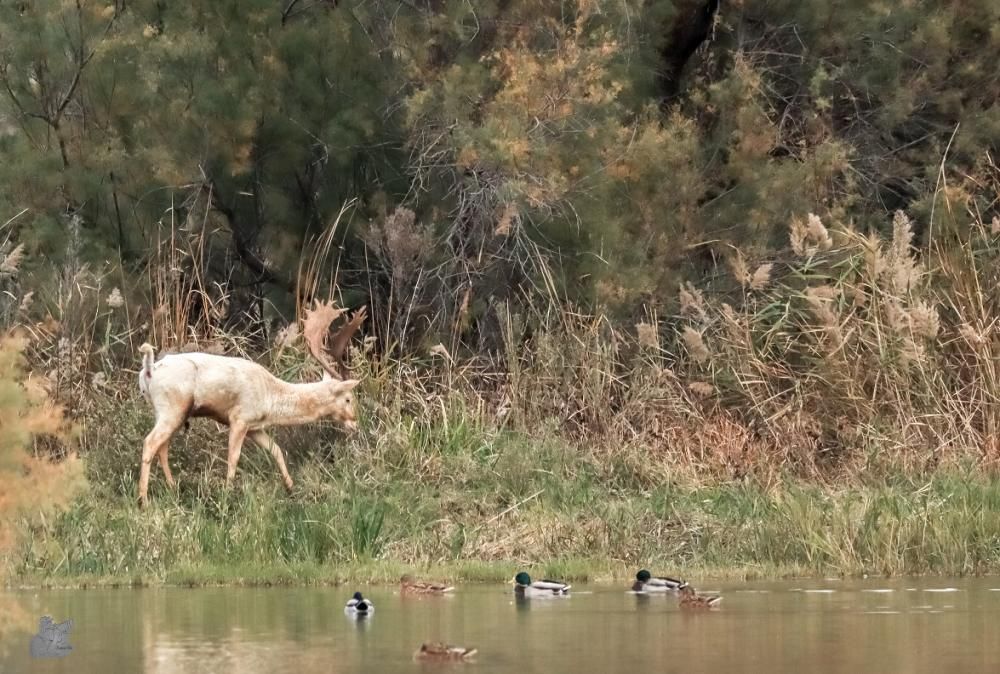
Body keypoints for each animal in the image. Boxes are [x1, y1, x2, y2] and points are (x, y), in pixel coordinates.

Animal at [135, 300, 366, 504]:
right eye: (348, 398)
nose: (356, 423)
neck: (270, 398)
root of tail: (149, 370)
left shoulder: (255, 427)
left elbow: (276, 450)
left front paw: (290, 487)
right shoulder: (240, 418)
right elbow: (233, 457)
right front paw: (228, 494)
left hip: (169, 411)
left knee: (162, 447)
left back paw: (172, 488)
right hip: (172, 406)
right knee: (150, 443)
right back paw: (143, 500)